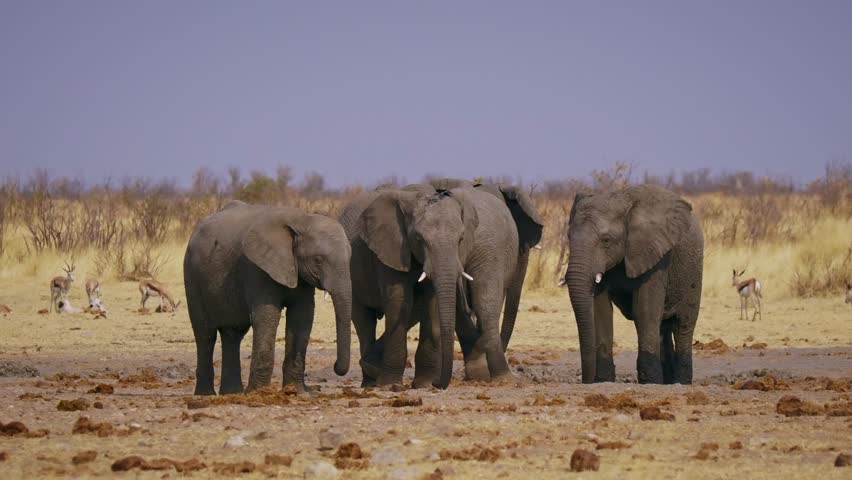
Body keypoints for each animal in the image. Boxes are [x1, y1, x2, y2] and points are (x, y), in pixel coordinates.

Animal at [184, 200, 351, 395]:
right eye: (318, 260)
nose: (335, 366)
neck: (301, 219)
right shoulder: (256, 267)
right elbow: (267, 316)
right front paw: (259, 393)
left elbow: (303, 316)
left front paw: (298, 392)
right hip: (191, 273)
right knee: (205, 334)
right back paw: (206, 394)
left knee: (232, 334)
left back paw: (232, 393)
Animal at [339, 185, 521, 389]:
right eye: (419, 239)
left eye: (461, 239)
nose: (438, 384)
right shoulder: (389, 247)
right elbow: (400, 300)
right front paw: (389, 385)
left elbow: (431, 301)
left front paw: (424, 384)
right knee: (363, 321)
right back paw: (370, 382)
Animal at [562, 185, 703, 385]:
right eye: (568, 237)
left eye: (606, 240)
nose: (586, 381)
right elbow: (600, 310)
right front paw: (603, 381)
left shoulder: (656, 254)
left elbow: (644, 311)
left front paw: (650, 382)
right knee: (663, 326)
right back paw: (667, 381)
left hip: (693, 271)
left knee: (683, 324)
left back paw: (680, 382)